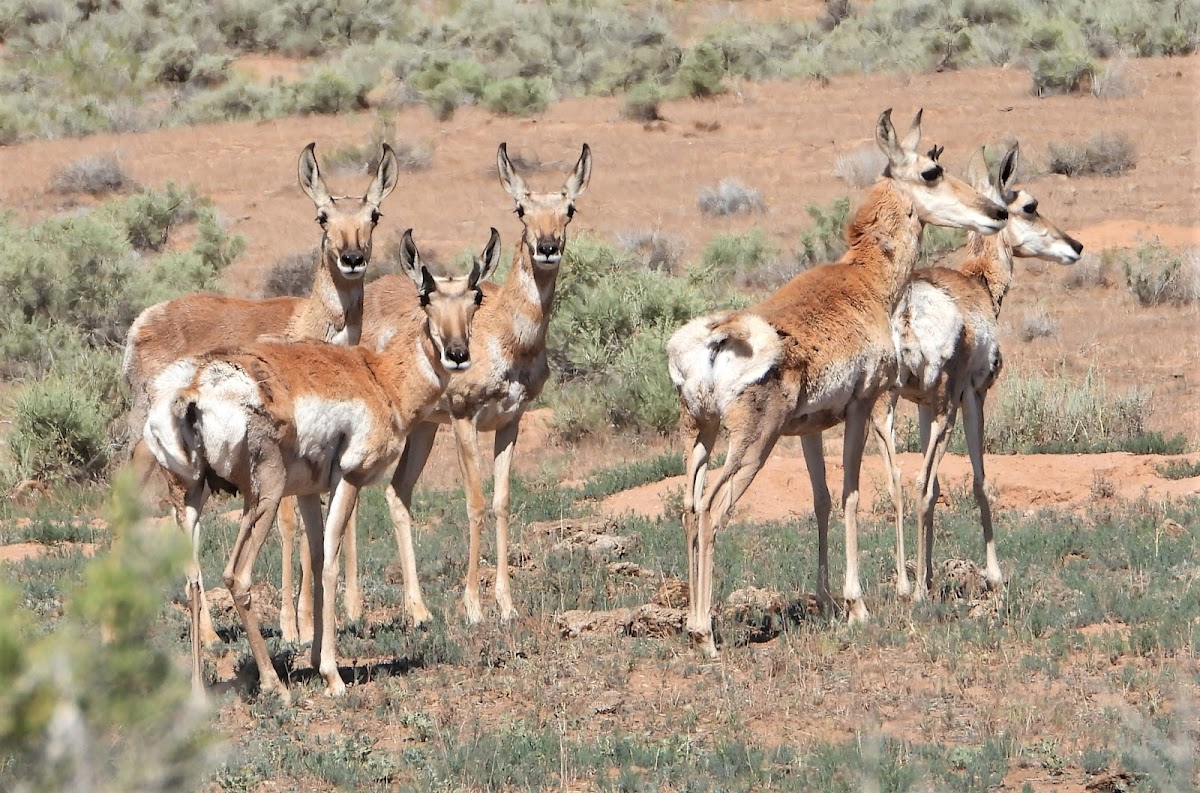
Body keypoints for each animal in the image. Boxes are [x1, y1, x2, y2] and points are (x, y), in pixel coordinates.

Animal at [124, 140, 400, 643]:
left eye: (374, 214)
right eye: (322, 216)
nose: (352, 258)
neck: (309, 325)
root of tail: (145, 319)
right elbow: (291, 522)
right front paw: (298, 626)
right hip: (148, 449)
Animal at [142, 229, 499, 700]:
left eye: (475, 297)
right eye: (426, 297)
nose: (457, 353)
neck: (378, 376)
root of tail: (194, 389)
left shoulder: (309, 492)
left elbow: (313, 560)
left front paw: (314, 658)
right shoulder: (349, 479)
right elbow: (328, 563)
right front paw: (332, 675)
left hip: (191, 498)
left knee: (192, 578)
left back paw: (200, 691)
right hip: (263, 496)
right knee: (236, 575)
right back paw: (275, 685)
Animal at [672, 109, 1008, 657]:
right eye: (931, 171)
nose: (996, 211)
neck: (863, 280)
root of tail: (719, 337)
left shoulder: (810, 428)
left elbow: (824, 499)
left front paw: (831, 603)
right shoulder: (862, 408)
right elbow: (852, 494)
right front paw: (858, 607)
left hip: (700, 436)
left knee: (688, 506)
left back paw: (688, 624)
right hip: (751, 446)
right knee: (711, 509)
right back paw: (705, 635)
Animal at [878, 142, 1084, 597]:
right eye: (1030, 206)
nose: (1076, 245)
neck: (977, 283)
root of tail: (909, 306)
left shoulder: (920, 405)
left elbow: (938, 484)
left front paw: (930, 571)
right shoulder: (974, 396)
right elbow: (980, 480)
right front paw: (994, 573)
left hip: (883, 411)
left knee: (899, 480)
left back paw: (905, 583)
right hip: (947, 410)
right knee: (921, 485)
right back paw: (918, 592)